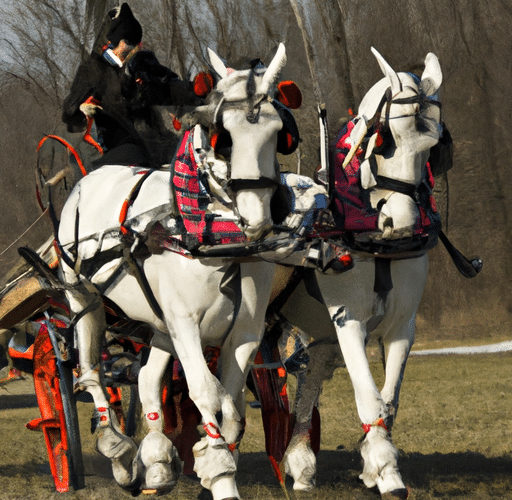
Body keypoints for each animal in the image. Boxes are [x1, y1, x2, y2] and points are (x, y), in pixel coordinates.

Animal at [57, 44, 290, 500]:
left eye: (278, 132)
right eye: (223, 137)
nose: (257, 219)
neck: (214, 241)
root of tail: (89, 179)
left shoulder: (245, 330)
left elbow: (232, 406)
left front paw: (208, 459)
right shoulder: (185, 324)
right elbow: (207, 393)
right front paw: (219, 474)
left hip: (158, 322)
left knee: (147, 378)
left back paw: (157, 462)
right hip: (85, 300)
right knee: (91, 373)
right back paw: (119, 452)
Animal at [282, 47, 446, 500]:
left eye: (434, 146)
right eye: (386, 139)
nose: (403, 222)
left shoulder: (402, 326)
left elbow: (388, 401)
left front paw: (377, 464)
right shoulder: (348, 321)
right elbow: (369, 396)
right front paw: (385, 469)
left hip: (316, 333)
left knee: (309, 381)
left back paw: (301, 465)